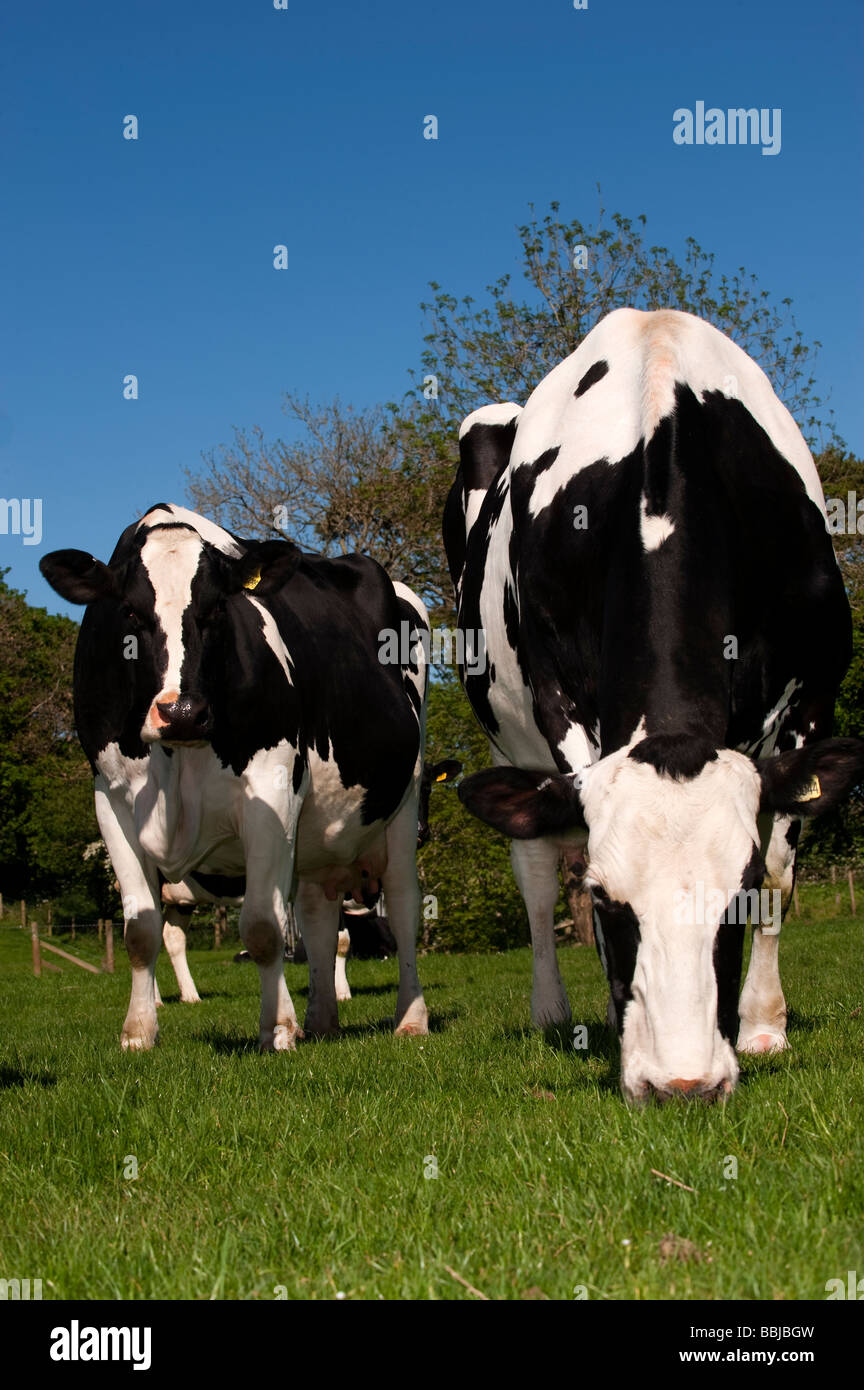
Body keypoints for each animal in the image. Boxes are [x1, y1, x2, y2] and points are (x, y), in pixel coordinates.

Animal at [40, 503, 430, 1050]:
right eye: (131, 613)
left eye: (217, 610)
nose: (181, 712)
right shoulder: (111, 800)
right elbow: (140, 931)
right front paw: (138, 1033)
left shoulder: (272, 788)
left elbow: (264, 927)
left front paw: (278, 1030)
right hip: (318, 836)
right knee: (318, 915)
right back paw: (321, 1019)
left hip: (404, 799)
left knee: (402, 905)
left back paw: (410, 1018)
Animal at [444, 306, 864, 1102]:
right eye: (608, 901)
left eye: (736, 898)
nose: (683, 1084)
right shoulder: (559, 704)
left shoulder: (813, 699)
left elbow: (782, 868)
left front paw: (764, 1025)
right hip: (503, 738)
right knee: (535, 876)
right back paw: (553, 1013)